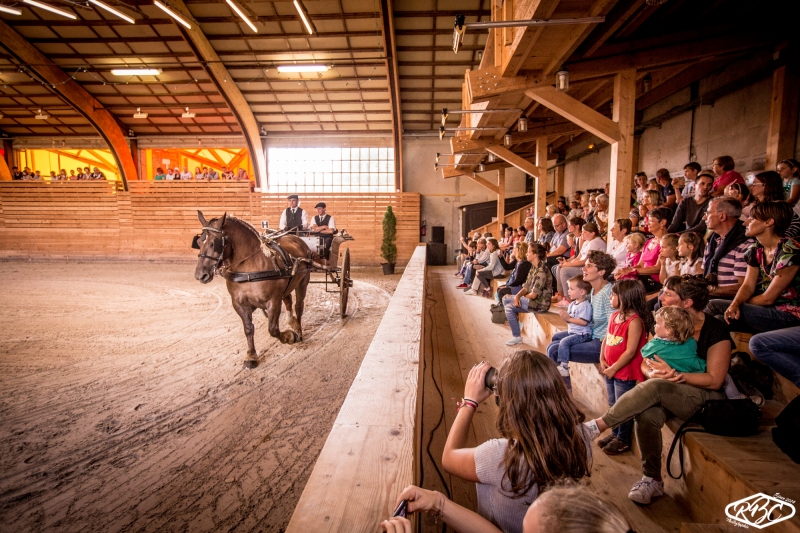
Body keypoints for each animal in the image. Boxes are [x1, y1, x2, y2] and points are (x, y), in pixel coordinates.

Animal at [194, 210, 312, 368]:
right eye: (199, 242)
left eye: (214, 243)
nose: (200, 275)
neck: (250, 268)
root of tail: (296, 238)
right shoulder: (239, 304)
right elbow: (248, 329)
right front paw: (251, 355)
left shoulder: (273, 301)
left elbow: (273, 329)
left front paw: (289, 336)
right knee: (288, 300)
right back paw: (292, 322)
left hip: (302, 283)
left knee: (299, 307)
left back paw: (298, 330)